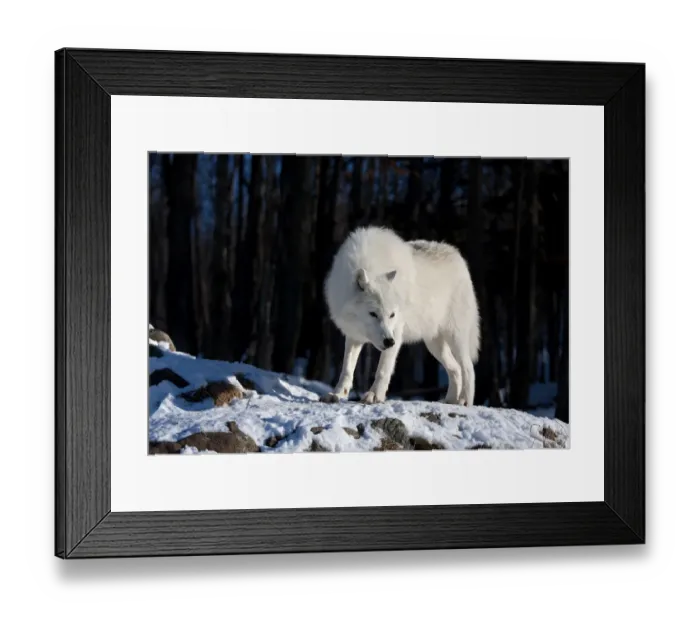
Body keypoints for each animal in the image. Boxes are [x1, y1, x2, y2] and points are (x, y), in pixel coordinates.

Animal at [321, 226, 480, 406]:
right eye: (373, 314)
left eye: (392, 315)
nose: (389, 342)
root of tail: (457, 255)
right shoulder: (354, 335)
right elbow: (347, 369)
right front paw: (337, 394)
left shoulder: (396, 331)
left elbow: (383, 369)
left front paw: (374, 395)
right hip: (434, 345)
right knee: (456, 368)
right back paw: (450, 400)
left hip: (455, 337)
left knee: (468, 367)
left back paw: (465, 401)